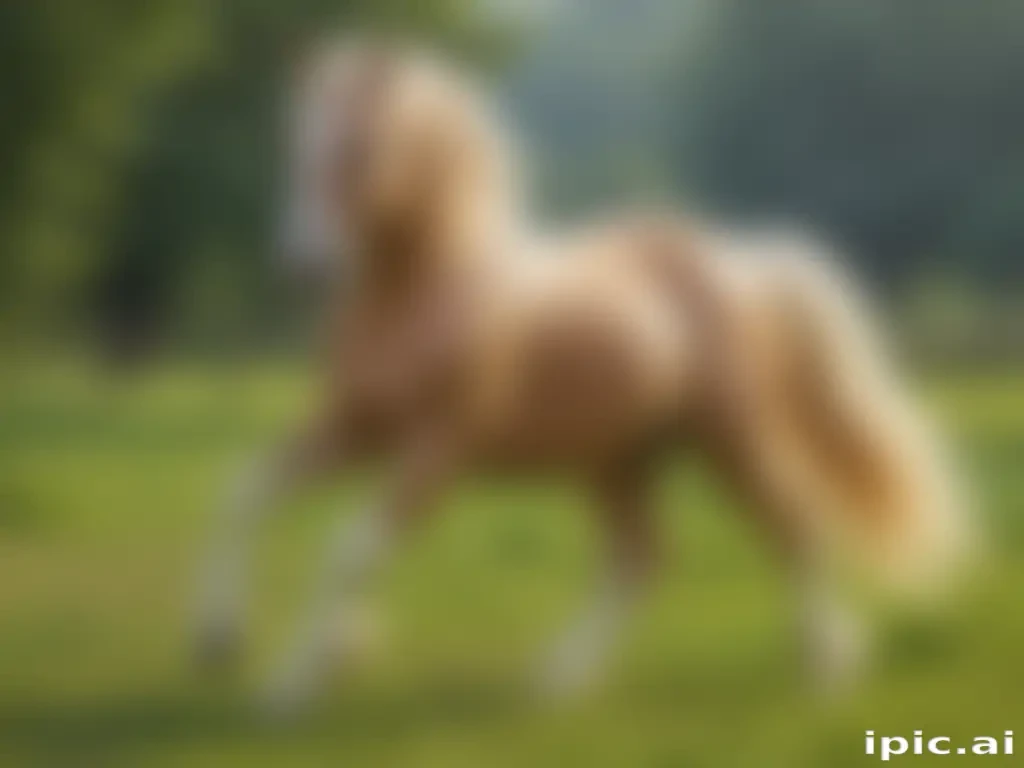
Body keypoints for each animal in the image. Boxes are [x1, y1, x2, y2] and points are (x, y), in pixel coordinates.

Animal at [192, 41, 969, 715]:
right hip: (619, 460)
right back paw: (556, 682)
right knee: (641, 560)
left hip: (728, 439)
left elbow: (349, 550)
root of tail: (736, 268)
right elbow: (244, 493)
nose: (301, 264)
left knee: (792, 524)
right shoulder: (355, 429)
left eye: (358, 144)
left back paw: (826, 668)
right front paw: (223, 641)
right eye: (295, 145)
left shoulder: (435, 450)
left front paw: (293, 688)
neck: (426, 293)